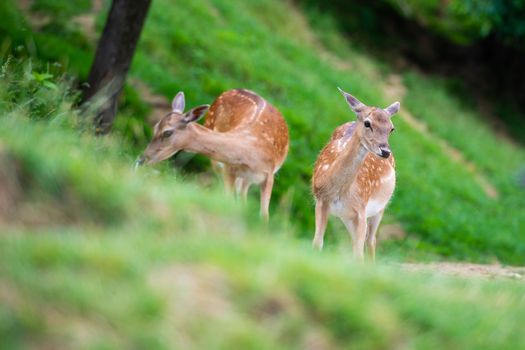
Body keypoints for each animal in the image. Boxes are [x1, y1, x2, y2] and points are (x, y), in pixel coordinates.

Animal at [135, 89, 288, 219]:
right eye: (155, 127)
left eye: (167, 132)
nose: (141, 160)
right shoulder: (229, 170)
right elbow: (228, 201)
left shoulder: (269, 176)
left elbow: (264, 216)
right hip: (220, 166)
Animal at [312, 89, 398, 262]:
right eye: (367, 123)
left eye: (392, 128)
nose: (385, 151)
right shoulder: (320, 202)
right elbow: (317, 243)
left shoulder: (361, 210)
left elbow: (358, 256)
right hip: (348, 217)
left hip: (381, 207)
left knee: (371, 241)